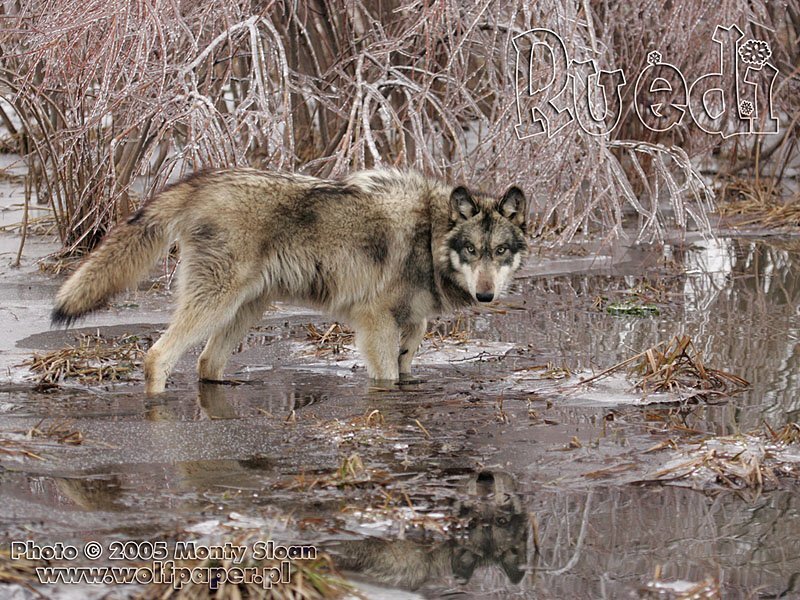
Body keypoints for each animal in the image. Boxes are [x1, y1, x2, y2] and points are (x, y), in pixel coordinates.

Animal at [52, 168, 528, 395]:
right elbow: (388, 379)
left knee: (207, 364)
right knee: (157, 357)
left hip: (247, 308)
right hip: (217, 303)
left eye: (500, 251)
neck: (428, 233)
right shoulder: (375, 323)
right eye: (472, 250)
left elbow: (406, 368)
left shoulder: (412, 326)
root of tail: (203, 180)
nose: (486, 294)